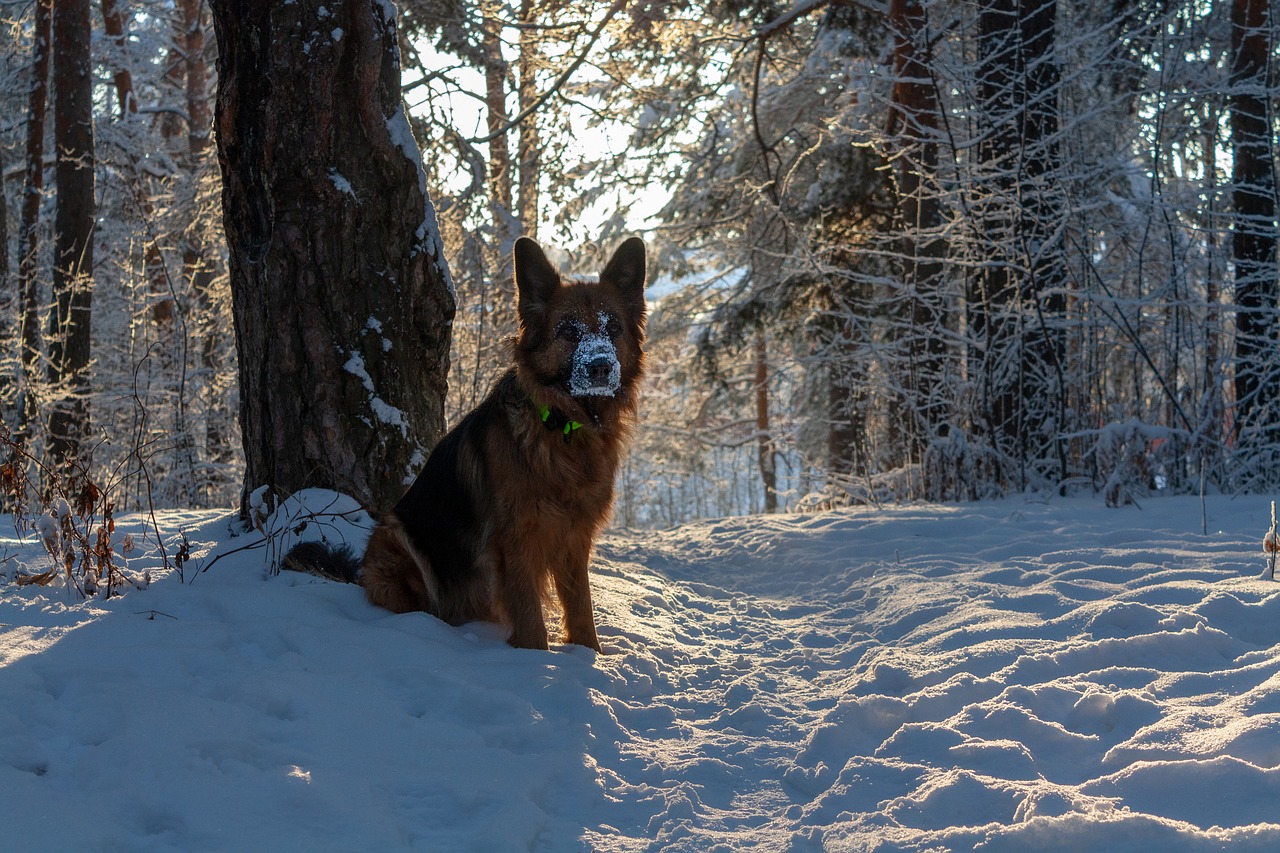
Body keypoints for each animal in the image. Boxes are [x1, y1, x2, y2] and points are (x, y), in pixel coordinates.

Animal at [290, 235, 650, 648]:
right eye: (569, 332)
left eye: (613, 328)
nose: (601, 367)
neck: (564, 429)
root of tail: (361, 571)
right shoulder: (516, 542)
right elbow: (530, 619)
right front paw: (535, 657)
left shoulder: (575, 540)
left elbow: (581, 610)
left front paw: (589, 655)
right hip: (398, 539)